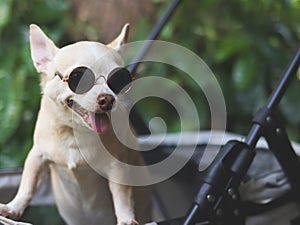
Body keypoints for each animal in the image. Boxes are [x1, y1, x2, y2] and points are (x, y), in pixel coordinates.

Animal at [0, 24, 150, 225]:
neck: (73, 133)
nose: (108, 99)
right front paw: (12, 208)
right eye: (78, 78)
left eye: (118, 80)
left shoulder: (117, 168)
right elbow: (27, 185)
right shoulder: (37, 157)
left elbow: (121, 195)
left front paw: (126, 219)